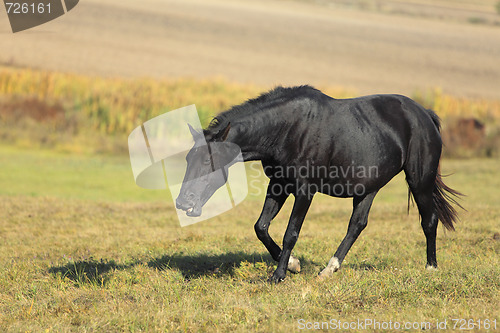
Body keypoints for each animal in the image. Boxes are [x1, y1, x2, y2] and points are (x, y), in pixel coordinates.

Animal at [176, 84, 460, 282]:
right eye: (188, 158)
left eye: (206, 161)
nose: (182, 201)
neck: (286, 129)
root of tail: (425, 115)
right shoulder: (278, 185)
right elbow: (261, 227)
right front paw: (292, 264)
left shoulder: (304, 191)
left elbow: (291, 232)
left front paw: (279, 275)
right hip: (368, 188)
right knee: (357, 225)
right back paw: (328, 269)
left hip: (419, 180)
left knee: (429, 220)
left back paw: (431, 268)